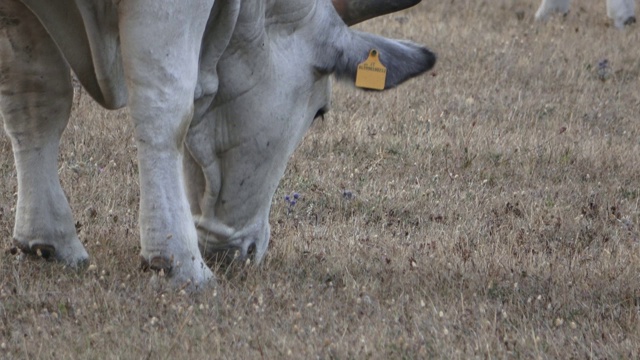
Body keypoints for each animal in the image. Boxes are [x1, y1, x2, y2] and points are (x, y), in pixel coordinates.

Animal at [0, 0, 436, 288]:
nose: (246, 253)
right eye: (320, 112)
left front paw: (48, 238)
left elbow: (36, 97)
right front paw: (179, 260)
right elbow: (165, 106)